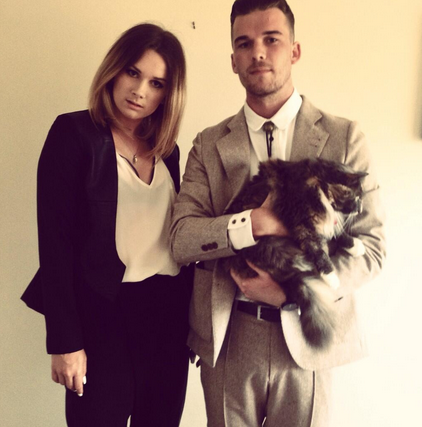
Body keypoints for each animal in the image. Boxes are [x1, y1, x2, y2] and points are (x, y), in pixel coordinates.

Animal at [226, 158, 367, 348]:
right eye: (357, 197)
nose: (361, 208)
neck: (319, 184)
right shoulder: (303, 224)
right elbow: (318, 250)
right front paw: (331, 277)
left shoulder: (323, 222)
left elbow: (338, 234)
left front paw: (355, 246)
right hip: (273, 248)